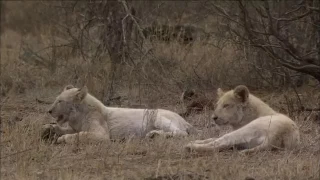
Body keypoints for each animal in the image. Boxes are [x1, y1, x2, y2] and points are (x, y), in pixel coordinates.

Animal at [44, 85, 195, 144]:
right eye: (56, 99)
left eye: (60, 101)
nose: (49, 111)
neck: (77, 117)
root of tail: (184, 120)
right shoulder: (74, 127)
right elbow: (65, 129)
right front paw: (48, 129)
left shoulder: (102, 134)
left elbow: (80, 135)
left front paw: (62, 138)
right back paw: (153, 135)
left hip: (156, 116)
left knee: (181, 133)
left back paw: (154, 135)